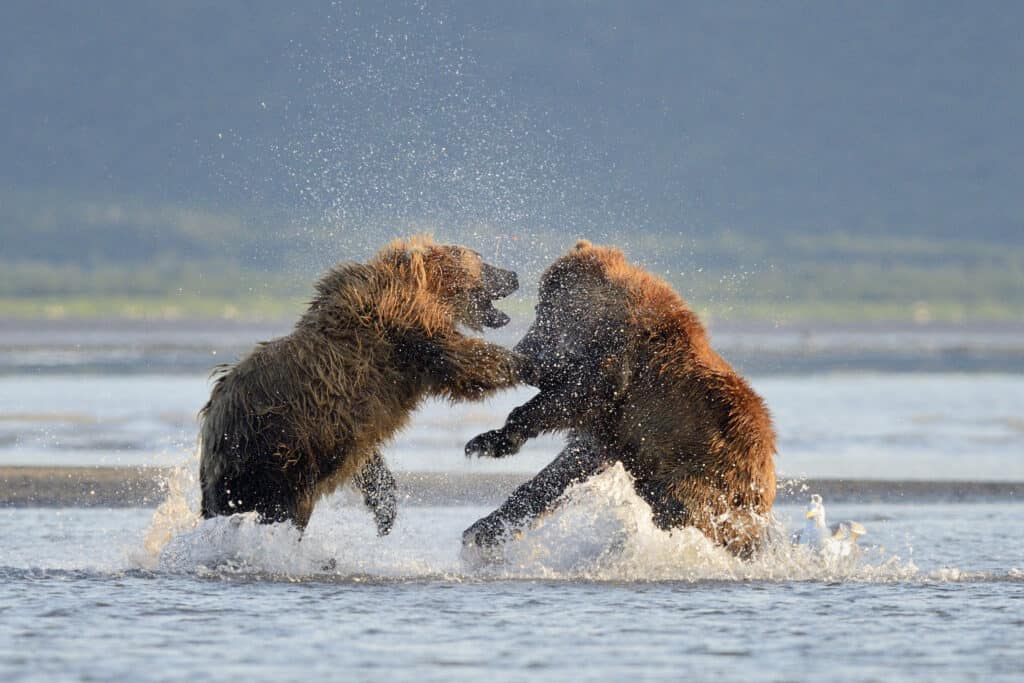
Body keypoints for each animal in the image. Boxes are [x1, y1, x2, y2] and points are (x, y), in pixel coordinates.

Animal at [200, 237, 536, 532]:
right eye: (481, 259)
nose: (513, 275)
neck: (423, 289)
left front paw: (385, 509)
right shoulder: (404, 327)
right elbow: (462, 359)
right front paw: (527, 362)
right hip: (278, 446)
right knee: (284, 505)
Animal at [464, 239, 774, 557]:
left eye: (544, 310)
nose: (524, 350)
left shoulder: (620, 364)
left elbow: (574, 396)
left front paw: (488, 441)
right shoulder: (610, 431)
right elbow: (566, 465)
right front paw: (483, 529)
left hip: (705, 472)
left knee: (679, 509)